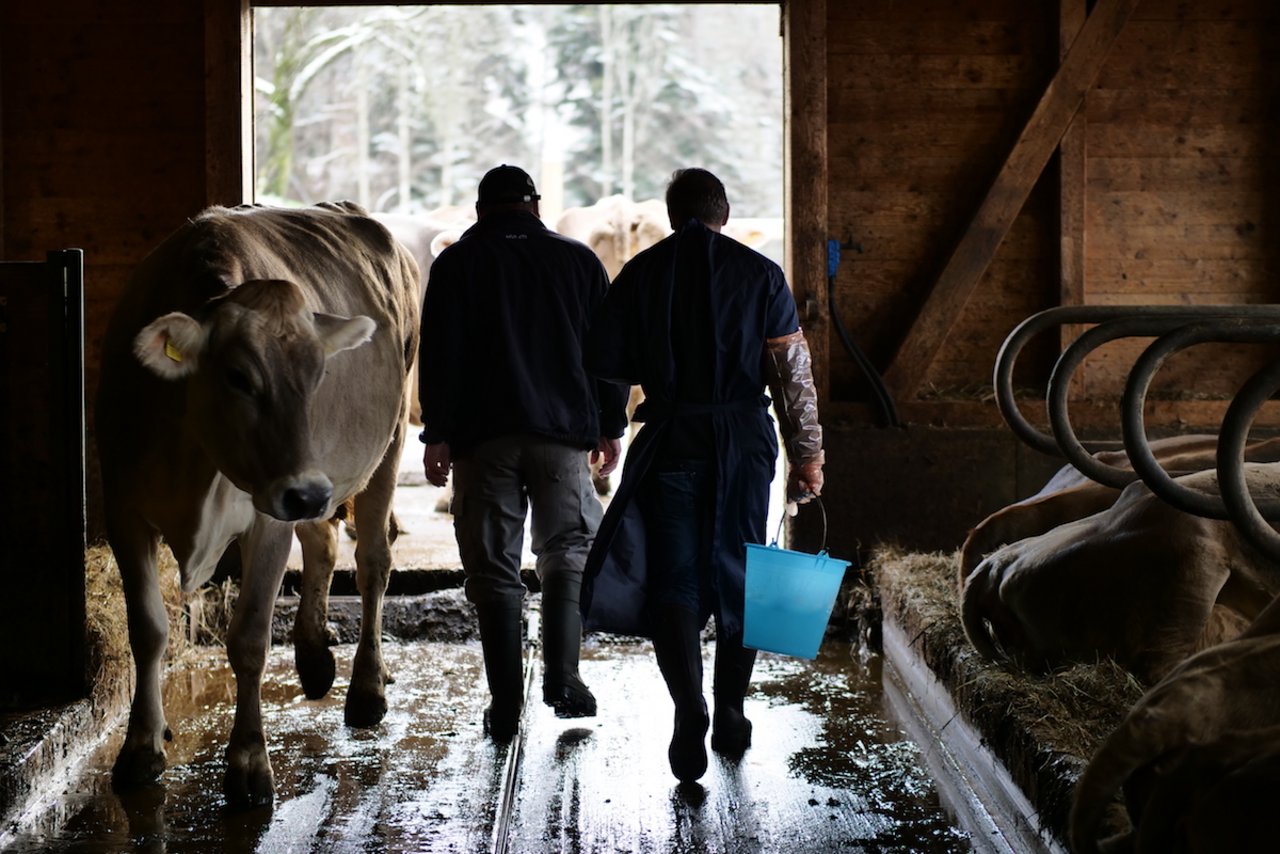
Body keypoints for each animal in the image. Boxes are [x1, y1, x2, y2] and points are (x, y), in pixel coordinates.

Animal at [101, 201, 419, 809]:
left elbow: (249, 638)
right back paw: (314, 657)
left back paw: (367, 686)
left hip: (385, 444)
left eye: (319, 375)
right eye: (238, 376)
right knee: (322, 542)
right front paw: (141, 747)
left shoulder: (270, 518)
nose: (310, 492)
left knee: (372, 562)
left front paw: (248, 761)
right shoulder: (123, 509)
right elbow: (147, 629)